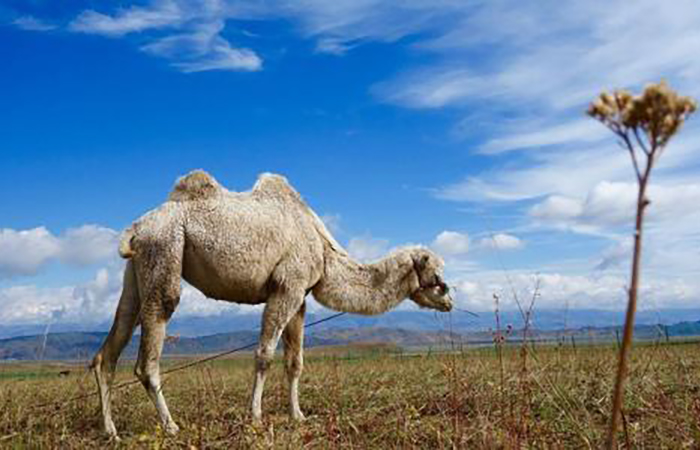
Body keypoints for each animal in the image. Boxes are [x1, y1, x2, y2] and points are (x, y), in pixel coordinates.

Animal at [91, 170, 454, 440]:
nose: (450, 300)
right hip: (164, 250)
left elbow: (295, 362)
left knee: (111, 345)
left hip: (136, 271)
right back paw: (170, 426)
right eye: (438, 276)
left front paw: (298, 416)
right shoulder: (286, 287)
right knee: (149, 349)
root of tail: (136, 229)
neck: (324, 250)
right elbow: (264, 355)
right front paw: (255, 417)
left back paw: (111, 431)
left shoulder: (300, 297)